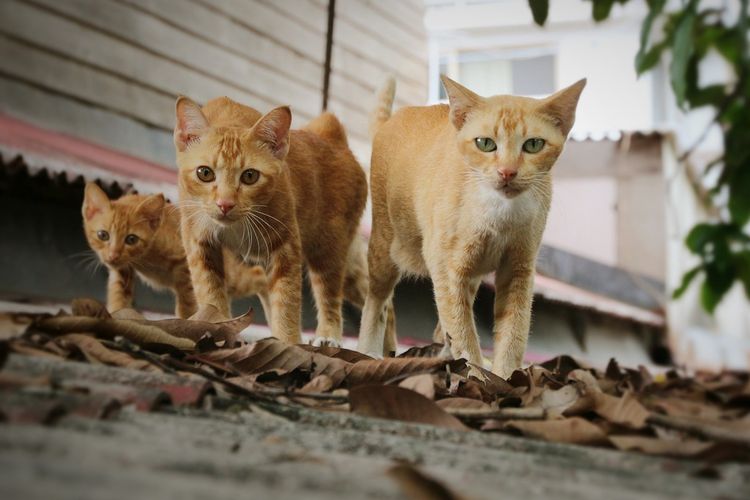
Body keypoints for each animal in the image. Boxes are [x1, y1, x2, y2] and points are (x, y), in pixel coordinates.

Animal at [82, 183, 268, 316]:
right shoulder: (122, 270)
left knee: (259, 273)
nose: (112, 256)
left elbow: (187, 301)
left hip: (233, 277)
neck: (144, 257)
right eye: (103, 235)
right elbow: (118, 295)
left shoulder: (186, 265)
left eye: (131, 239)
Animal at [171, 95, 370, 346]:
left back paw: (329, 336)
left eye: (250, 176)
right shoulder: (200, 244)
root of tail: (332, 137)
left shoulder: (285, 248)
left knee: (333, 297)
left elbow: (286, 303)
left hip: (328, 250)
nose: (225, 204)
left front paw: (288, 342)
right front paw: (216, 330)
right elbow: (210, 294)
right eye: (204, 173)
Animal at [358, 76, 588, 376]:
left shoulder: (518, 269)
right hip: (386, 247)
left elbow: (513, 331)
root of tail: (393, 119)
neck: (500, 214)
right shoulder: (446, 267)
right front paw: (477, 374)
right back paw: (369, 350)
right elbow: (463, 331)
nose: (507, 172)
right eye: (485, 143)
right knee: (377, 300)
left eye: (534, 145)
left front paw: (506, 376)